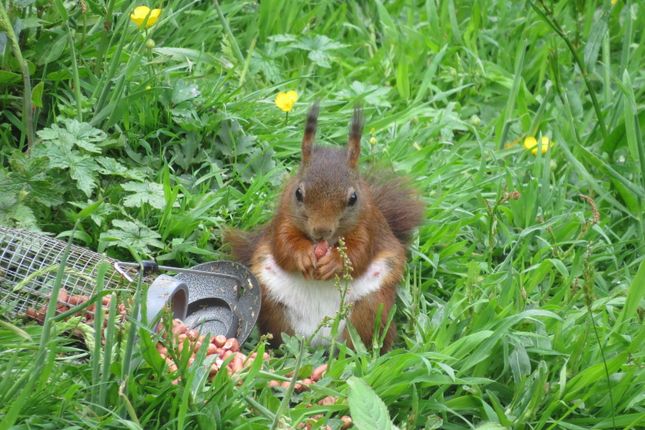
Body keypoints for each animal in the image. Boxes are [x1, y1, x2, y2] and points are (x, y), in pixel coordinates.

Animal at [224, 105, 426, 352]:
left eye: (353, 198)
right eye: (298, 193)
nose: (322, 231)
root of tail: (318, 341)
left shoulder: (369, 227)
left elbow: (359, 254)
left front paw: (335, 262)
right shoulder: (282, 222)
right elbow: (284, 246)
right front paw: (303, 256)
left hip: (371, 308)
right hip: (274, 308)